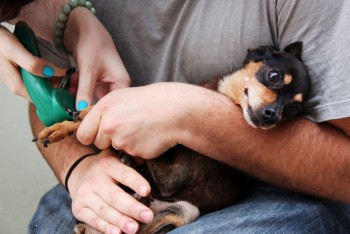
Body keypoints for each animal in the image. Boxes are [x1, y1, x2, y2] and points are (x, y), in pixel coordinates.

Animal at [34, 42, 308, 234]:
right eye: (273, 76)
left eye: (293, 112)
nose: (273, 116)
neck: (221, 94)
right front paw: (64, 124)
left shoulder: (172, 176)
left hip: (187, 208)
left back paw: (140, 194)